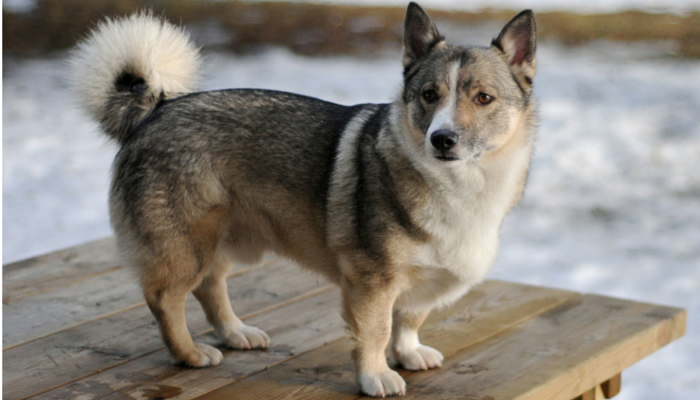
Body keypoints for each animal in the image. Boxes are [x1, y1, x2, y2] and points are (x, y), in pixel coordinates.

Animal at [69, 2, 536, 396]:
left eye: (483, 98)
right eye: (429, 95)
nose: (441, 139)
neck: (460, 183)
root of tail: (156, 109)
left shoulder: (414, 282)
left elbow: (409, 318)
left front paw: (408, 353)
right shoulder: (372, 281)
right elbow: (376, 331)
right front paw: (375, 375)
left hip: (220, 239)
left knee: (210, 286)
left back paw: (235, 332)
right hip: (187, 245)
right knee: (166, 299)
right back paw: (190, 354)